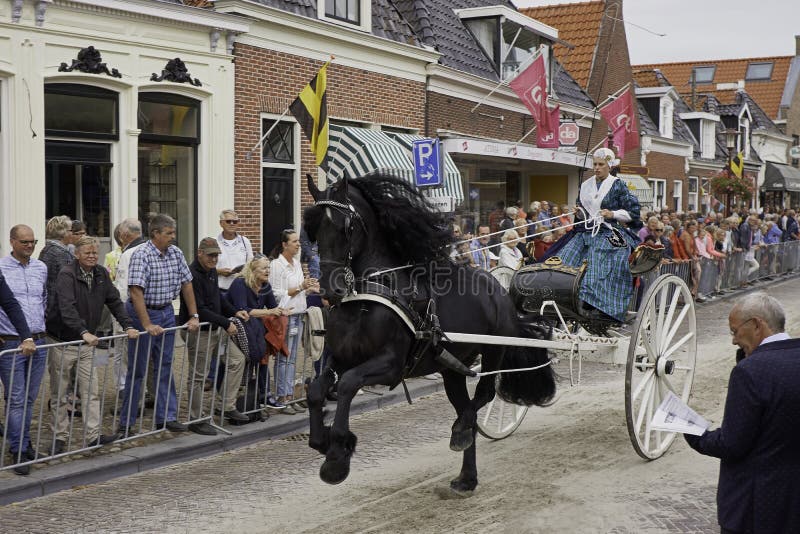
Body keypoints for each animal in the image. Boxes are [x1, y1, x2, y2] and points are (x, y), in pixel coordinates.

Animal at [302, 174, 556, 496]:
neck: (368, 295)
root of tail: (499, 290)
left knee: (481, 398)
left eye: (346, 227)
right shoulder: (341, 357)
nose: (328, 289)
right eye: (313, 229)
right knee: (467, 409)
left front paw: (337, 455)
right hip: (451, 369)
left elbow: (347, 385)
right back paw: (467, 475)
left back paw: (460, 433)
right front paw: (323, 442)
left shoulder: (390, 364)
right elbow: (315, 390)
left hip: (493, 351)